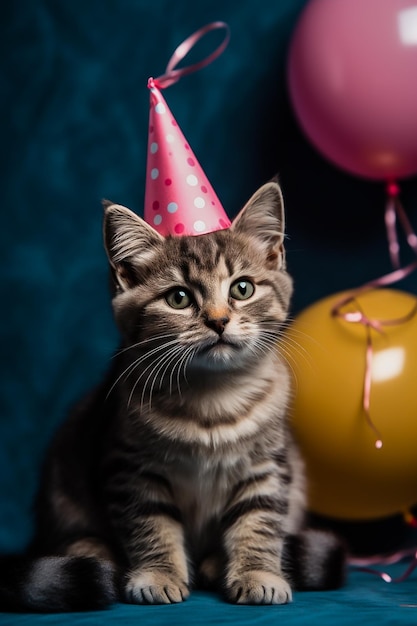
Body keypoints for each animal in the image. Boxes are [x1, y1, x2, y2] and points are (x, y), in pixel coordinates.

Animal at [0, 180, 344, 608]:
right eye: (178, 298)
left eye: (242, 289)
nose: (218, 321)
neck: (213, 396)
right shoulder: (131, 469)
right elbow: (151, 525)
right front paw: (158, 574)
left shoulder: (267, 467)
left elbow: (259, 522)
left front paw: (258, 573)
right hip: (64, 481)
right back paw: (97, 555)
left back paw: (215, 564)